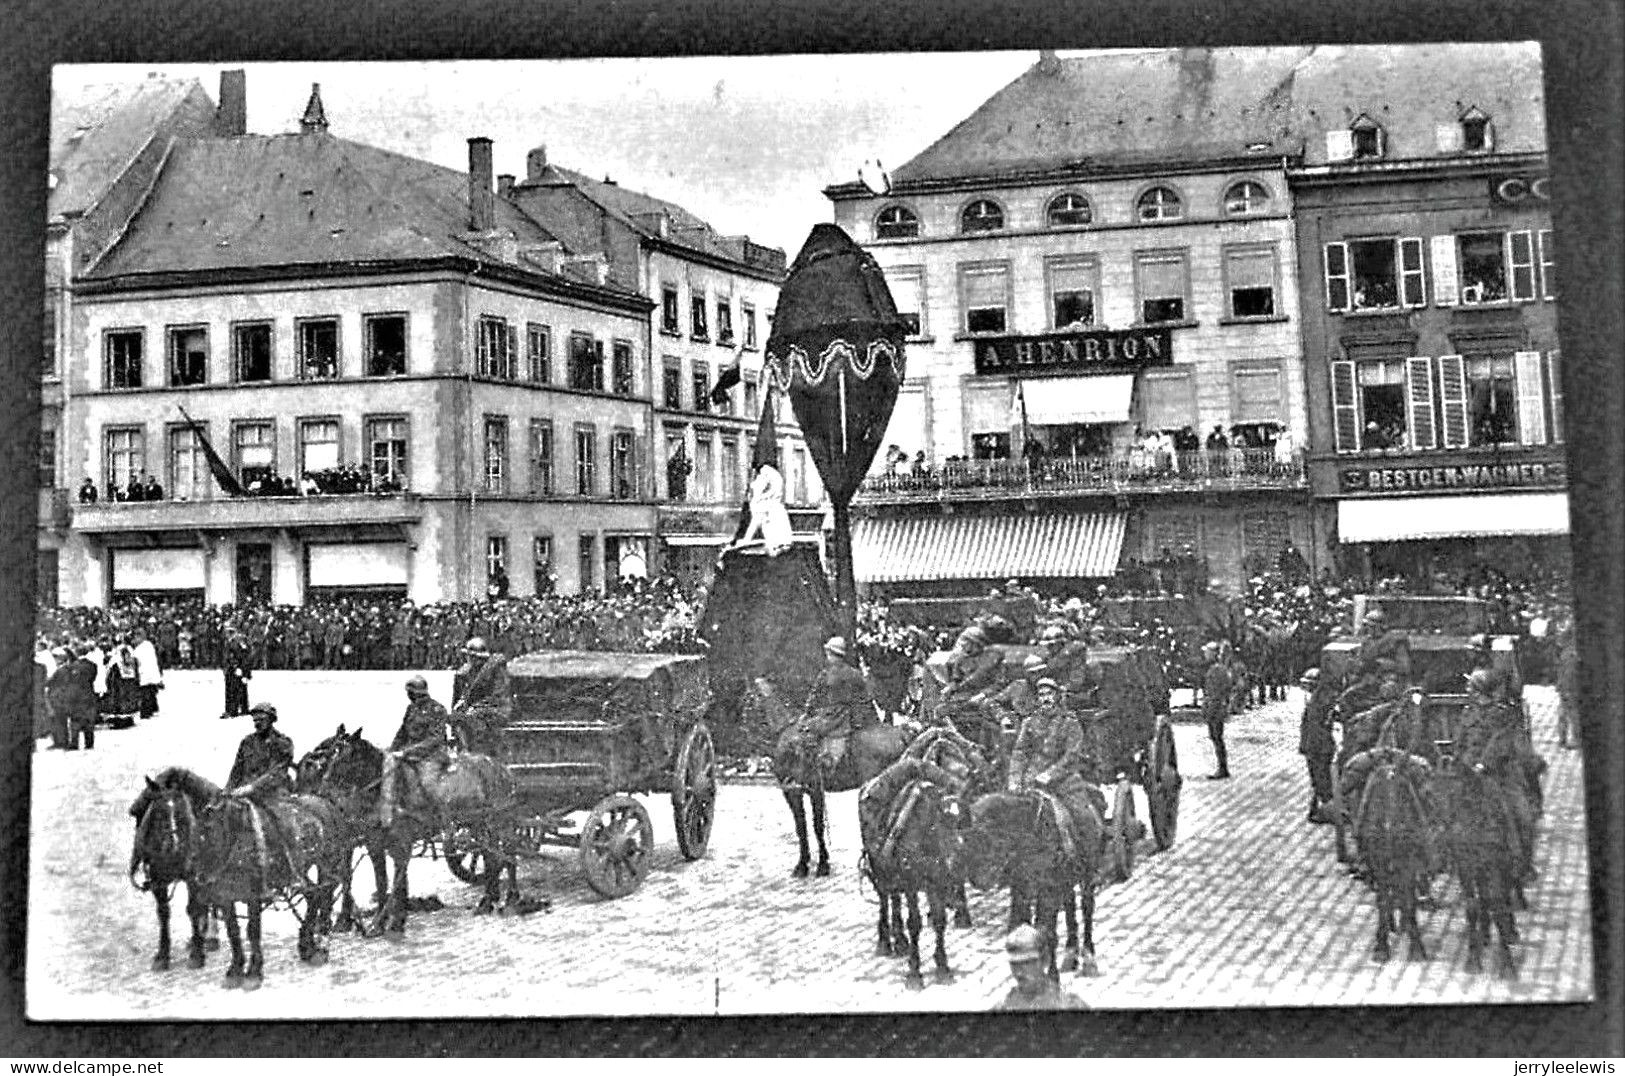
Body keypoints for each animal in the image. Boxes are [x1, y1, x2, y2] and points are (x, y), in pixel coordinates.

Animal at [130, 767, 349, 994]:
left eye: (182, 812)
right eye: (157, 812)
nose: (171, 848)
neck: (229, 831)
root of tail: (325, 803)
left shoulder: (253, 893)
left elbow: (252, 930)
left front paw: (253, 973)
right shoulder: (222, 893)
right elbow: (232, 930)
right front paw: (235, 970)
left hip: (327, 865)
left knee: (325, 894)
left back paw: (321, 945)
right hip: (299, 871)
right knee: (314, 895)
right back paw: (307, 945)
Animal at [305, 728, 526, 942]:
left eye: (347, 756)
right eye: (330, 756)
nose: (323, 791)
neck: (386, 790)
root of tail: (503, 769)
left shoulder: (400, 845)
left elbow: (398, 884)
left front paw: (395, 923)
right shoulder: (375, 845)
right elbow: (381, 882)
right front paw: (378, 924)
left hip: (499, 821)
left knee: (509, 854)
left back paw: (511, 898)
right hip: (479, 824)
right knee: (490, 856)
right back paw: (487, 901)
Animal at [962, 789, 1105, 981]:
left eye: (988, 836)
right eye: (966, 839)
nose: (976, 879)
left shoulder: (1048, 892)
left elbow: (1048, 933)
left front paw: (1052, 976)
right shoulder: (1021, 892)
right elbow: (1017, 927)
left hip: (1087, 875)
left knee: (1087, 908)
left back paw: (1089, 959)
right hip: (1066, 882)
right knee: (1070, 907)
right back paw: (1070, 954)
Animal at [1339, 747, 1430, 962]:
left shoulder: (1409, 862)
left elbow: (1408, 900)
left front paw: (1416, 945)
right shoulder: (1377, 862)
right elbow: (1382, 899)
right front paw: (1381, 945)